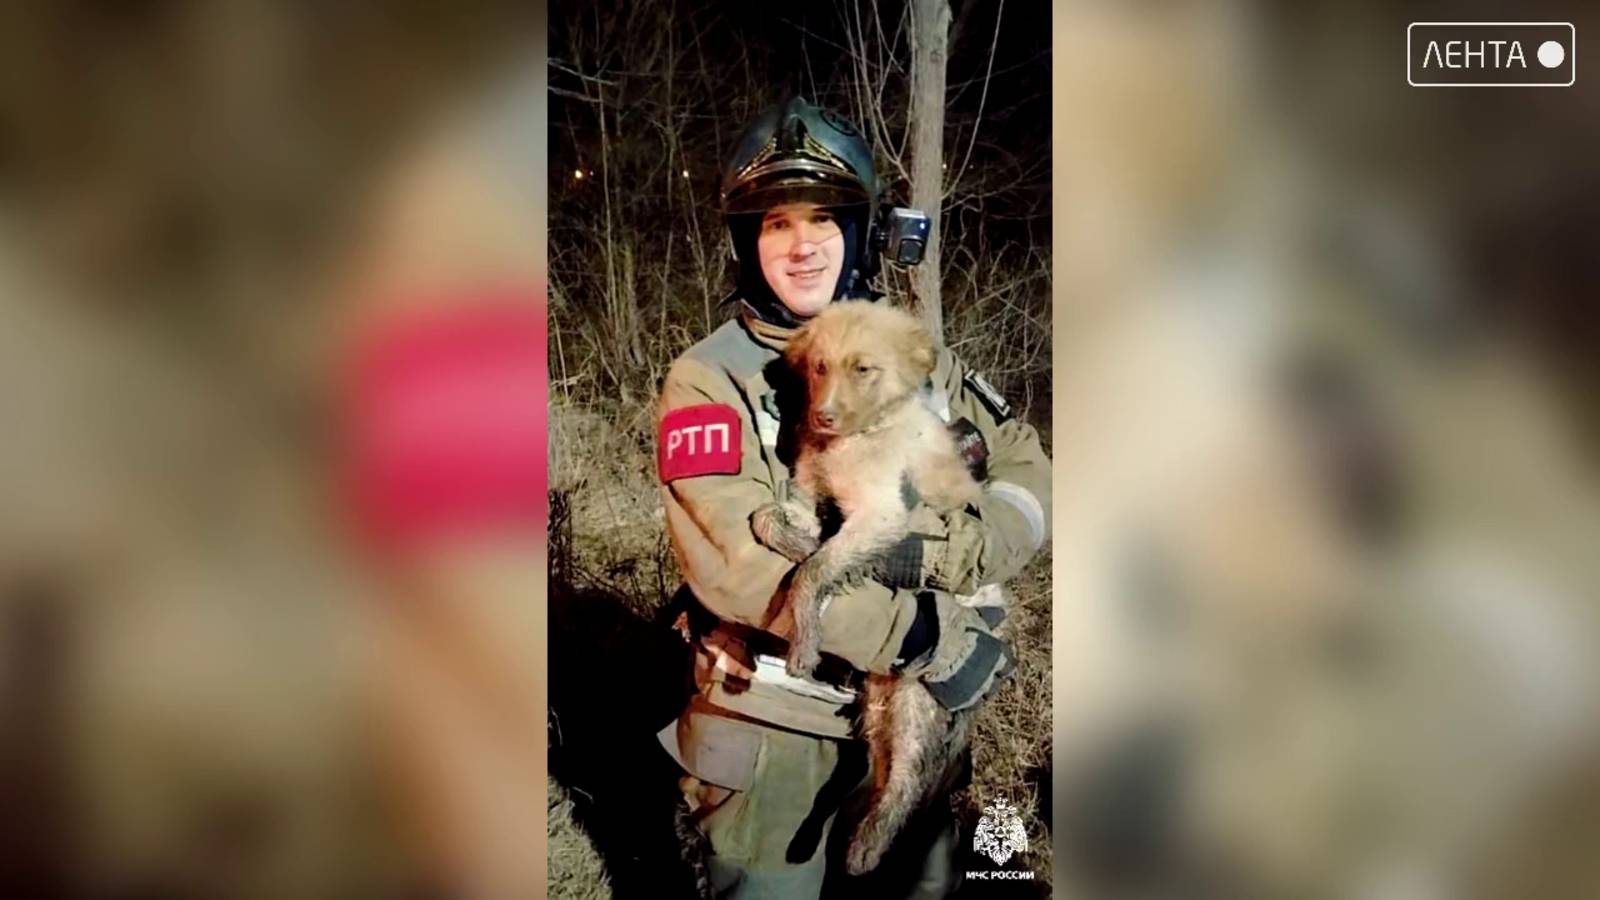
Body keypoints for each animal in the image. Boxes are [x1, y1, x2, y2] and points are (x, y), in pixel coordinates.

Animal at [750, 300, 1003, 875]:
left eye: (863, 369)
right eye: (819, 367)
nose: (820, 417)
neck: (859, 437)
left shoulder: (883, 513)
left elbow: (815, 570)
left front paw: (804, 640)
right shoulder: (810, 488)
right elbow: (771, 520)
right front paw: (796, 539)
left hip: (916, 696)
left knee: (903, 781)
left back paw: (866, 849)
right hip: (879, 700)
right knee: (869, 772)